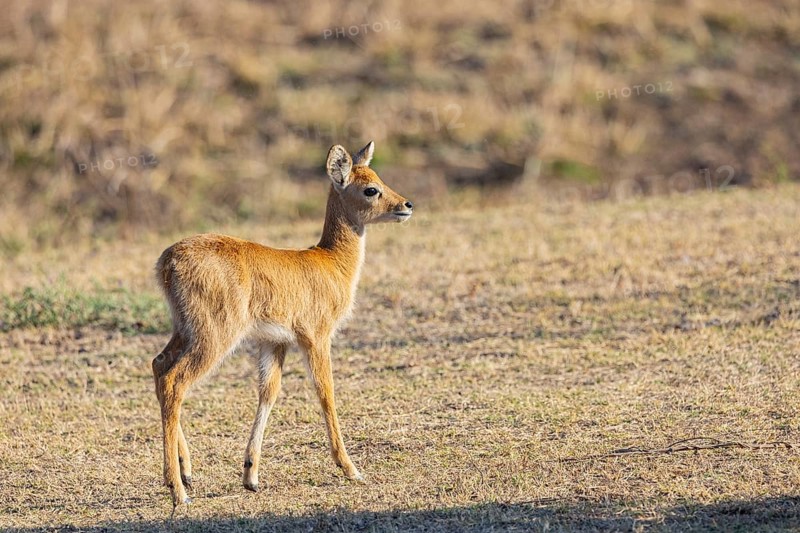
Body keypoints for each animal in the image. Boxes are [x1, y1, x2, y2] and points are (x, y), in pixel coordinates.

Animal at [151, 141, 413, 508]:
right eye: (370, 189)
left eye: (378, 177)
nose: (406, 205)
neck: (331, 262)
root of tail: (167, 261)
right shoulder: (316, 337)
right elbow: (325, 392)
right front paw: (351, 469)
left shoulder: (274, 342)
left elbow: (268, 393)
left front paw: (251, 476)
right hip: (214, 336)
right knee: (175, 381)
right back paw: (178, 490)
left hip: (184, 330)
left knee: (159, 366)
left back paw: (185, 472)